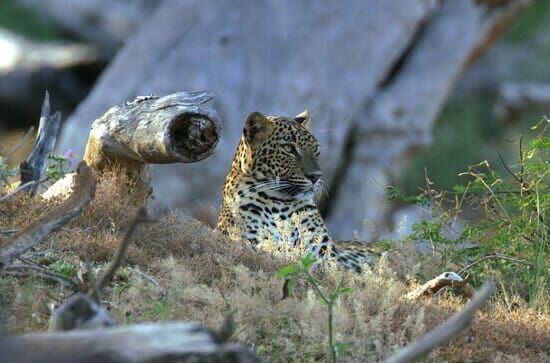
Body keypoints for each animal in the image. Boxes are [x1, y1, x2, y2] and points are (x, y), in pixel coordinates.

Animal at [218, 111, 378, 272]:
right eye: (288, 148)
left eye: (315, 149)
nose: (316, 176)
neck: (278, 203)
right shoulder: (252, 242)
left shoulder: (323, 252)